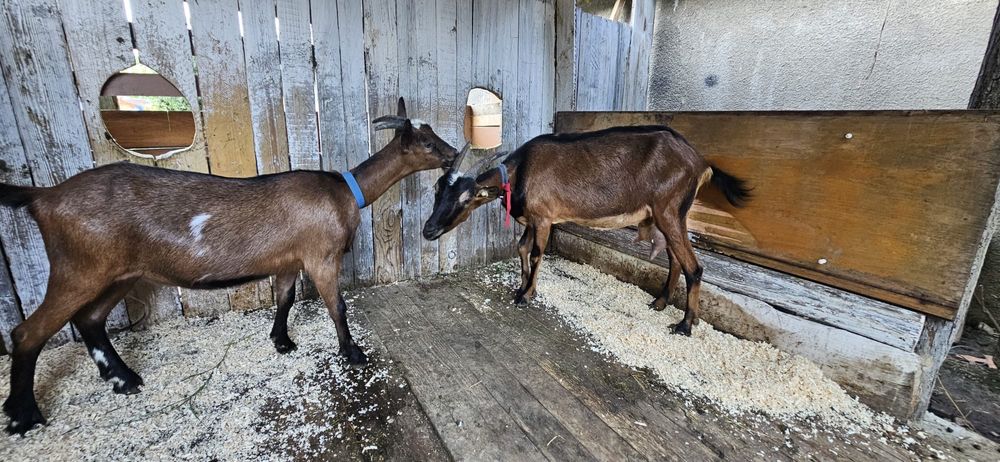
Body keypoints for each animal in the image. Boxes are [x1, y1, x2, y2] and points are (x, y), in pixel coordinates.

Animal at [0, 98, 463, 435]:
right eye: (425, 142)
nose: (455, 153)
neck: (344, 192)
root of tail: (43, 197)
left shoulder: (288, 258)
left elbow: (285, 298)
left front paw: (281, 342)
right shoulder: (321, 255)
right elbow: (337, 307)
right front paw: (352, 353)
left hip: (118, 272)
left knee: (91, 319)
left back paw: (124, 379)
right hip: (77, 267)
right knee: (29, 331)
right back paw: (23, 415)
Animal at [422, 125, 750, 336]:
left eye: (468, 198)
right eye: (438, 189)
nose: (428, 230)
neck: (521, 173)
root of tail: (700, 162)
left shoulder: (543, 218)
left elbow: (537, 253)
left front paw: (526, 296)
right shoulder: (533, 220)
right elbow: (522, 248)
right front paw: (523, 288)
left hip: (670, 211)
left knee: (694, 267)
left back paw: (685, 325)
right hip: (665, 216)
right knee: (675, 260)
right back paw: (659, 303)